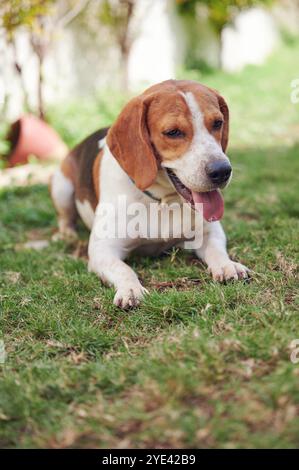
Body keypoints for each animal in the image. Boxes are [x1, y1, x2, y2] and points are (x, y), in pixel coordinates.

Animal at [50, 80, 250, 308]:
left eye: (218, 123)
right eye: (173, 132)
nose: (222, 171)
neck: (162, 201)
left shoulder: (209, 232)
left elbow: (217, 250)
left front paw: (227, 265)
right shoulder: (102, 250)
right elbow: (124, 269)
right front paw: (131, 289)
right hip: (61, 186)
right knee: (65, 216)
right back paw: (67, 234)